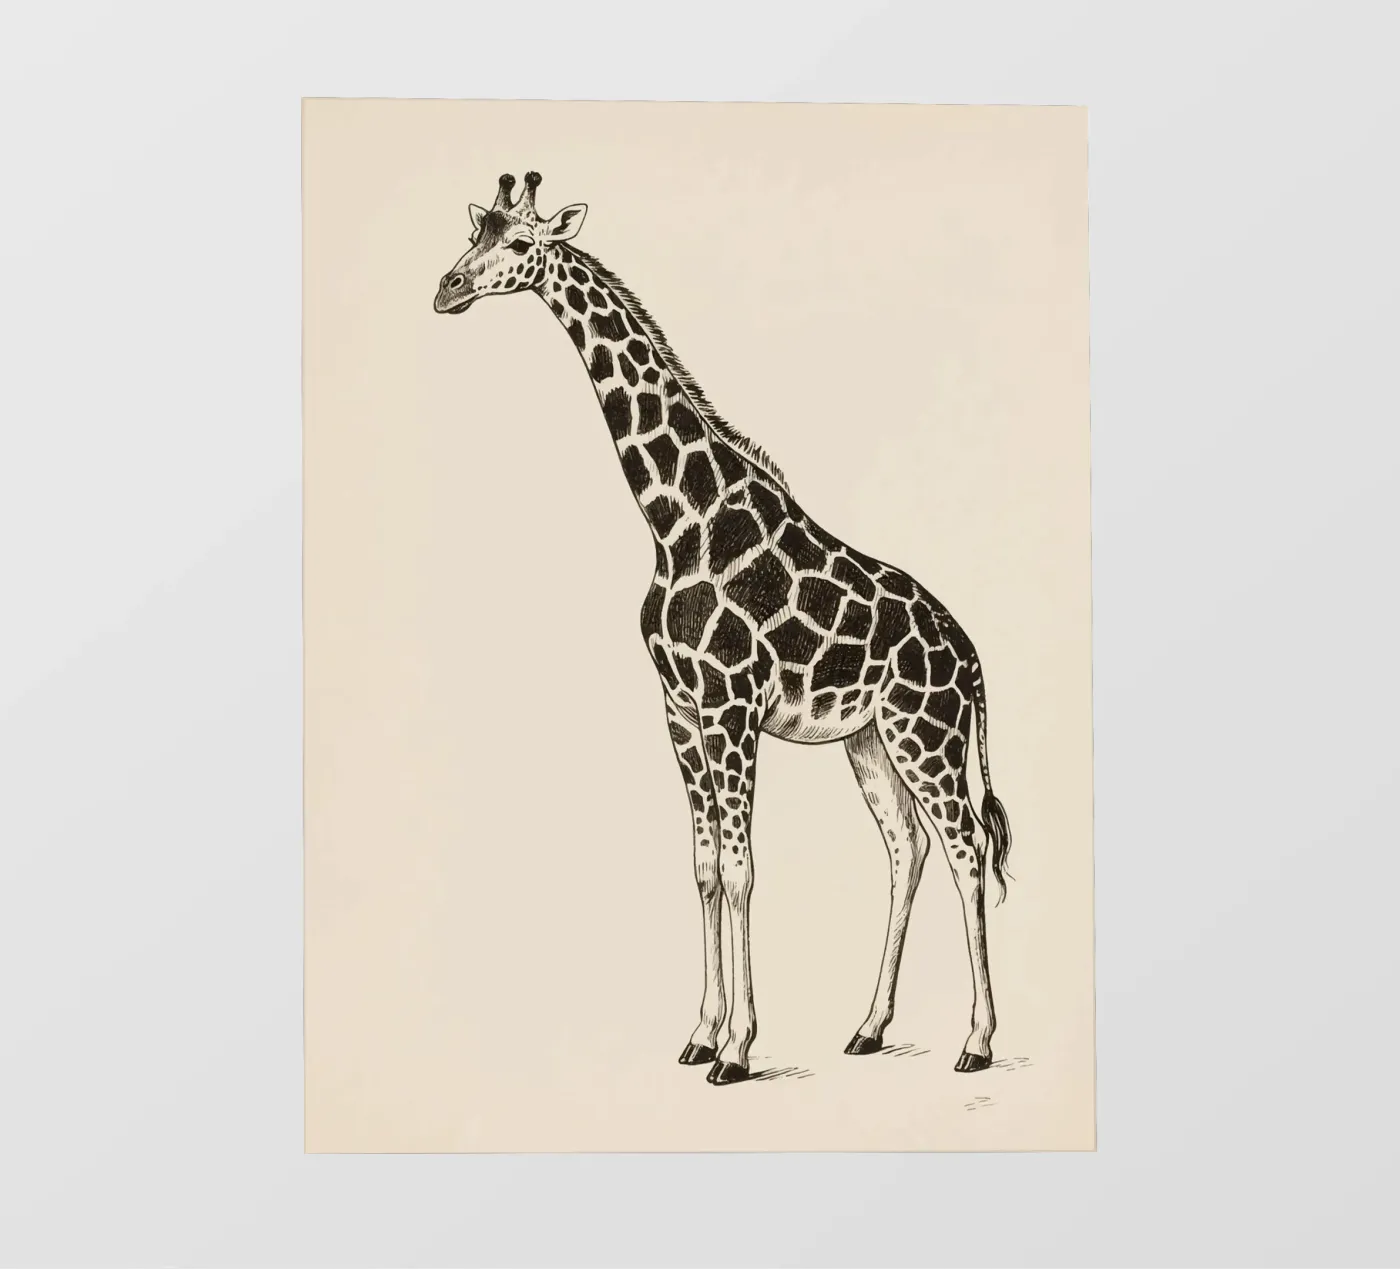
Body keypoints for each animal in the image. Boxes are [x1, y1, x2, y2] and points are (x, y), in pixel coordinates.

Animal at [434, 172, 1013, 1085]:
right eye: (475, 233)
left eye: (519, 243)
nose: (446, 289)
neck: (677, 520)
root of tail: (973, 656)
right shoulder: (680, 707)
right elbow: (704, 868)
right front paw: (701, 1033)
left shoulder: (732, 706)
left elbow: (741, 871)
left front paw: (737, 1049)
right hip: (871, 738)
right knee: (907, 848)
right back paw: (868, 1026)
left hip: (928, 733)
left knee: (965, 852)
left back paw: (977, 1042)